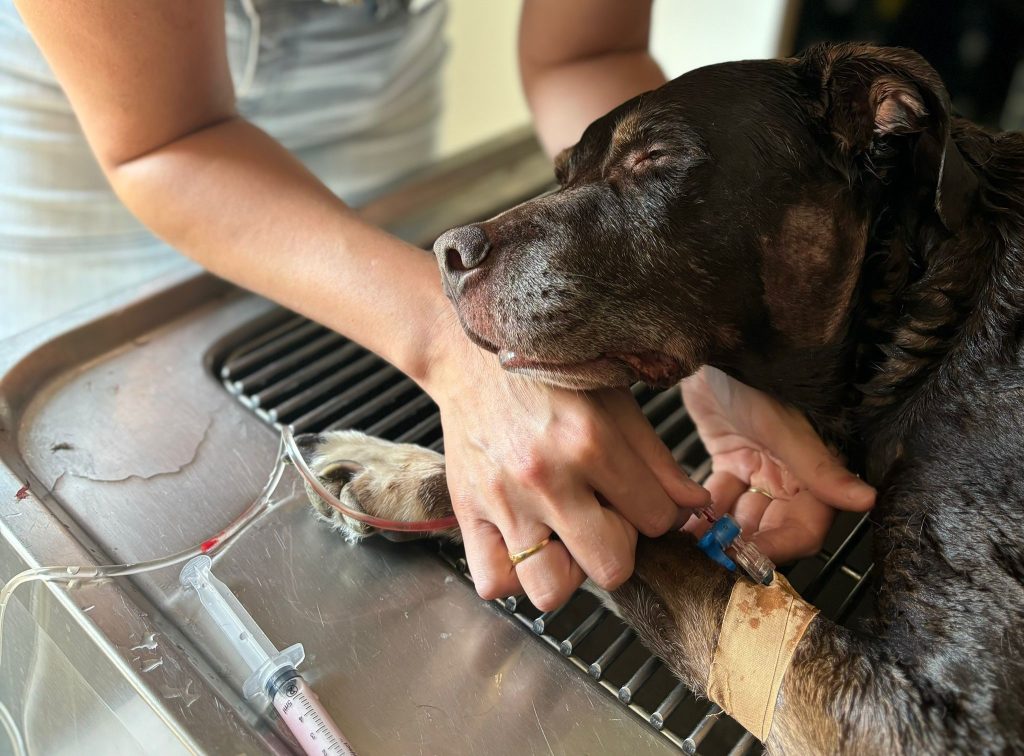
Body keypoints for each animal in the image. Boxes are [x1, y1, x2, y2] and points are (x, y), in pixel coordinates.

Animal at [296, 44, 1024, 749]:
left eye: (658, 159)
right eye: (561, 172)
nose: (448, 252)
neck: (925, 311)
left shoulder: (919, 714)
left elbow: (640, 535)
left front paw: (389, 477)